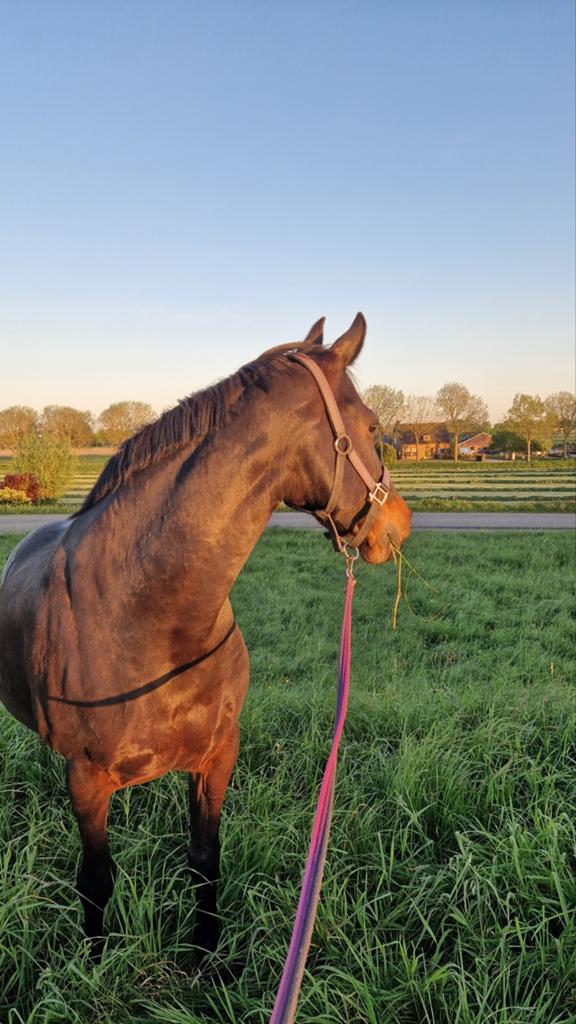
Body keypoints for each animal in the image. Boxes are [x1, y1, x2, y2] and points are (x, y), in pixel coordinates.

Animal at [0, 313, 411, 958]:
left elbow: (203, 858)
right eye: (370, 425)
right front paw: (93, 961)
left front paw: (207, 954)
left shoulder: (217, 758)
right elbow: (96, 880)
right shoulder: (87, 781)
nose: (399, 523)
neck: (150, 617)